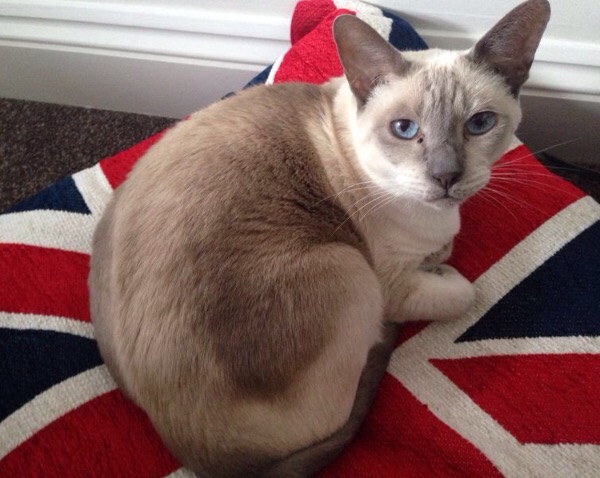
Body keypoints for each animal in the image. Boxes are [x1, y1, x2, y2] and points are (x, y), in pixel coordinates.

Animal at [86, 1, 552, 476]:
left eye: (480, 124)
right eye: (404, 129)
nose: (446, 177)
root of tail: (203, 459)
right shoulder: (392, 283)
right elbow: (465, 291)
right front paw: (443, 266)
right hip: (349, 266)